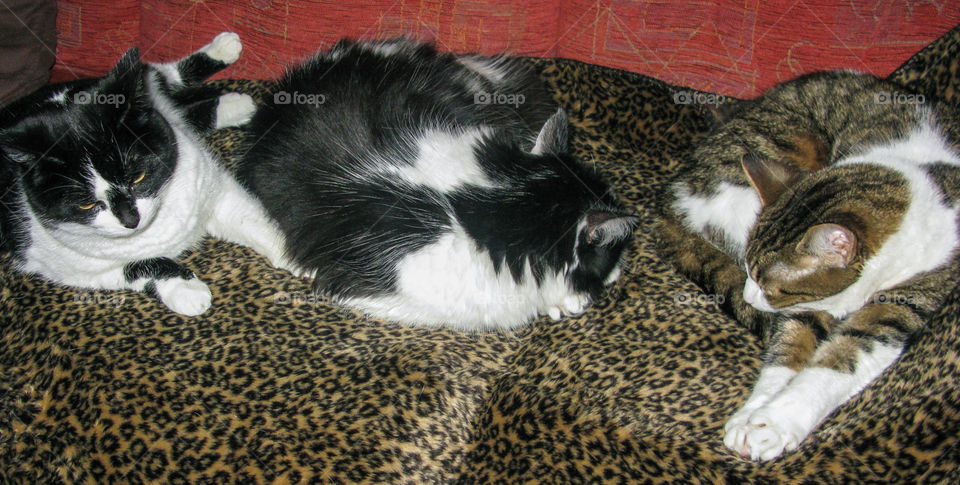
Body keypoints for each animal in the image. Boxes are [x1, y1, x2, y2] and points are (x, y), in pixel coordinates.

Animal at [0, 32, 292, 316]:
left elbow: (252, 222)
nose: (131, 220)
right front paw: (185, 290)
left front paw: (293, 256)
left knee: (158, 75)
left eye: (137, 178)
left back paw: (225, 54)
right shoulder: (59, 263)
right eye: (86, 205)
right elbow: (135, 266)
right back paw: (234, 102)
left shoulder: (215, 188)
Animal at [660, 70, 960, 460]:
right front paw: (754, 414)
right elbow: (788, 346)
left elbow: (839, 362)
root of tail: (671, 202)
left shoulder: (902, 304)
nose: (751, 296)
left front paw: (773, 423)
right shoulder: (804, 305)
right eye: (751, 272)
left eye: (769, 284)